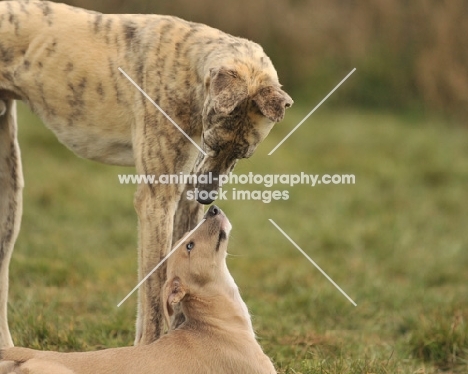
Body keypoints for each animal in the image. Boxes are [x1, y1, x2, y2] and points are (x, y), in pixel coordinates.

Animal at [0, 0, 292, 346]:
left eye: (243, 154)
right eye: (211, 141)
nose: (207, 197)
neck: (190, 66)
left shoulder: (185, 200)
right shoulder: (157, 201)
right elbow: (155, 289)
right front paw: (149, 348)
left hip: (8, 186)